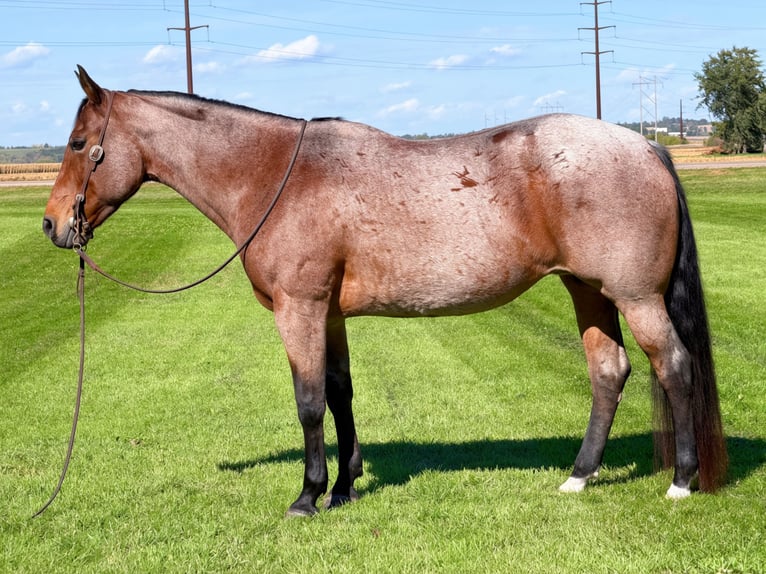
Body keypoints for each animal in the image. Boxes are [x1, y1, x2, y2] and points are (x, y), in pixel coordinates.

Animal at [43, 66, 727, 516]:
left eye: (78, 144)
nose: (52, 225)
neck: (275, 175)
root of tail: (647, 147)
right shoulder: (330, 315)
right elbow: (341, 395)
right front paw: (345, 488)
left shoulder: (299, 309)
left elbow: (309, 402)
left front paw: (309, 495)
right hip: (588, 291)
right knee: (609, 372)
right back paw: (579, 478)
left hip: (636, 298)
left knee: (673, 366)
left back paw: (681, 480)